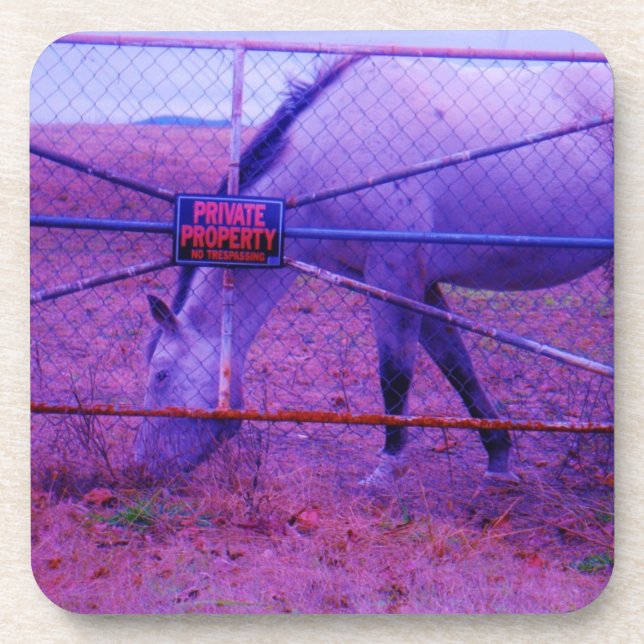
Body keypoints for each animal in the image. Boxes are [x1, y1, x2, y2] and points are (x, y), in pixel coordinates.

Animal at [134, 53, 613, 485]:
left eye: (162, 374)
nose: (142, 466)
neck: (328, 156)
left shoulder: (394, 276)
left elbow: (395, 375)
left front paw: (388, 467)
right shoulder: (418, 284)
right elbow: (457, 366)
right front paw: (498, 457)